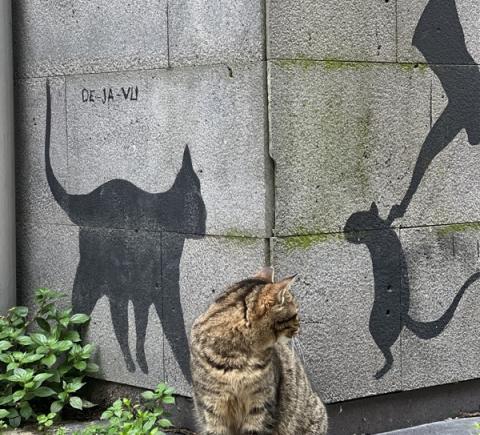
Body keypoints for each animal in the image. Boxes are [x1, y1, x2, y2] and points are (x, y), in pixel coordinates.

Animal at [44, 80, 207, 380]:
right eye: (195, 207)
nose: (202, 226)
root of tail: (84, 199)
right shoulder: (157, 283)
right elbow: (171, 328)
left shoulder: (145, 289)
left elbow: (142, 325)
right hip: (94, 276)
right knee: (87, 316)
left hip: (115, 284)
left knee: (117, 321)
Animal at [345, 202, 480, 379]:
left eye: (355, 219)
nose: (345, 231)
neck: (378, 232)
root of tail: (403, 314)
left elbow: (390, 219)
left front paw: (396, 210)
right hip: (377, 328)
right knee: (389, 355)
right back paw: (381, 371)